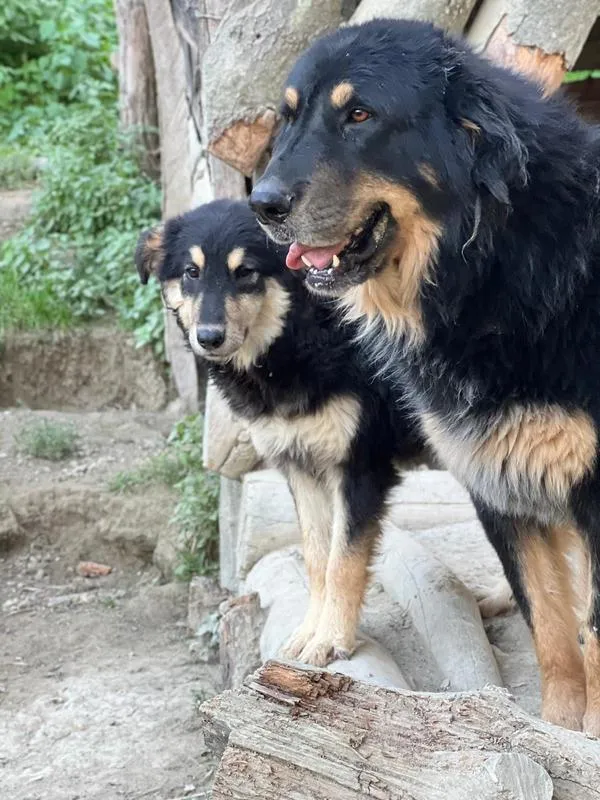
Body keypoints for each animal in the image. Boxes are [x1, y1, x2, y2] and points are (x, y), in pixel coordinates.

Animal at [135, 198, 424, 666]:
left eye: (246, 272)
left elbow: (343, 561)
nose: (208, 338)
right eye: (192, 272)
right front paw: (310, 633)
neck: (301, 336)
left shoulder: (360, 469)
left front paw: (332, 640)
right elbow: (317, 558)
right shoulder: (301, 466)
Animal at [249, 18, 600, 734]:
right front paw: (556, 729)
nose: (260, 203)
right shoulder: (495, 478)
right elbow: (550, 628)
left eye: (360, 115)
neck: (489, 268)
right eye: (289, 117)